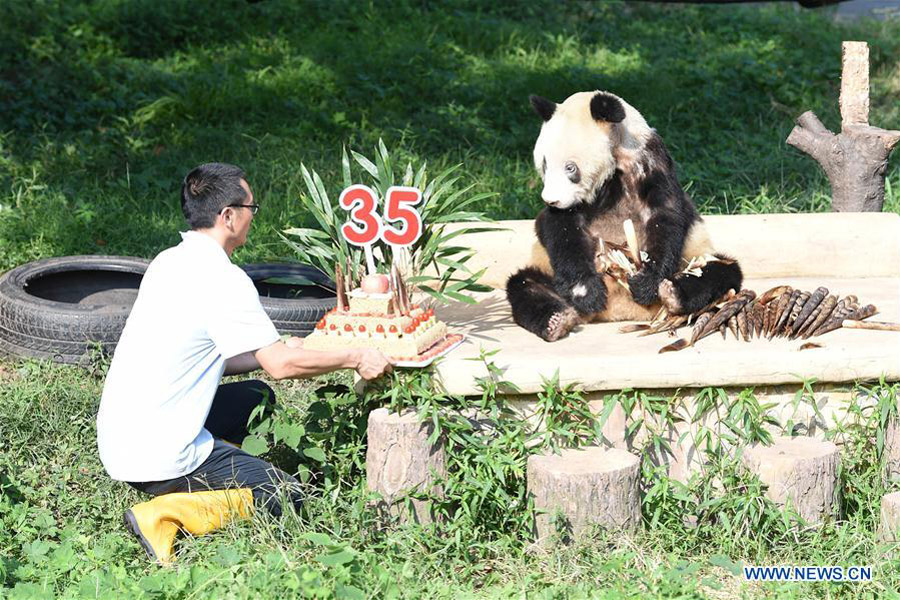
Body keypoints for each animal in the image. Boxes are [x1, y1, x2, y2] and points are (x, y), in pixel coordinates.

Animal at [506, 90, 743, 342]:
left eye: (570, 168)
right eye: (544, 165)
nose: (551, 200)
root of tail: (619, 311)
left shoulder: (652, 163)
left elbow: (665, 218)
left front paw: (646, 283)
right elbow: (560, 229)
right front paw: (586, 292)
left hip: (693, 257)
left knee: (720, 270)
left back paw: (673, 293)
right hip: (548, 273)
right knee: (524, 284)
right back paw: (557, 320)